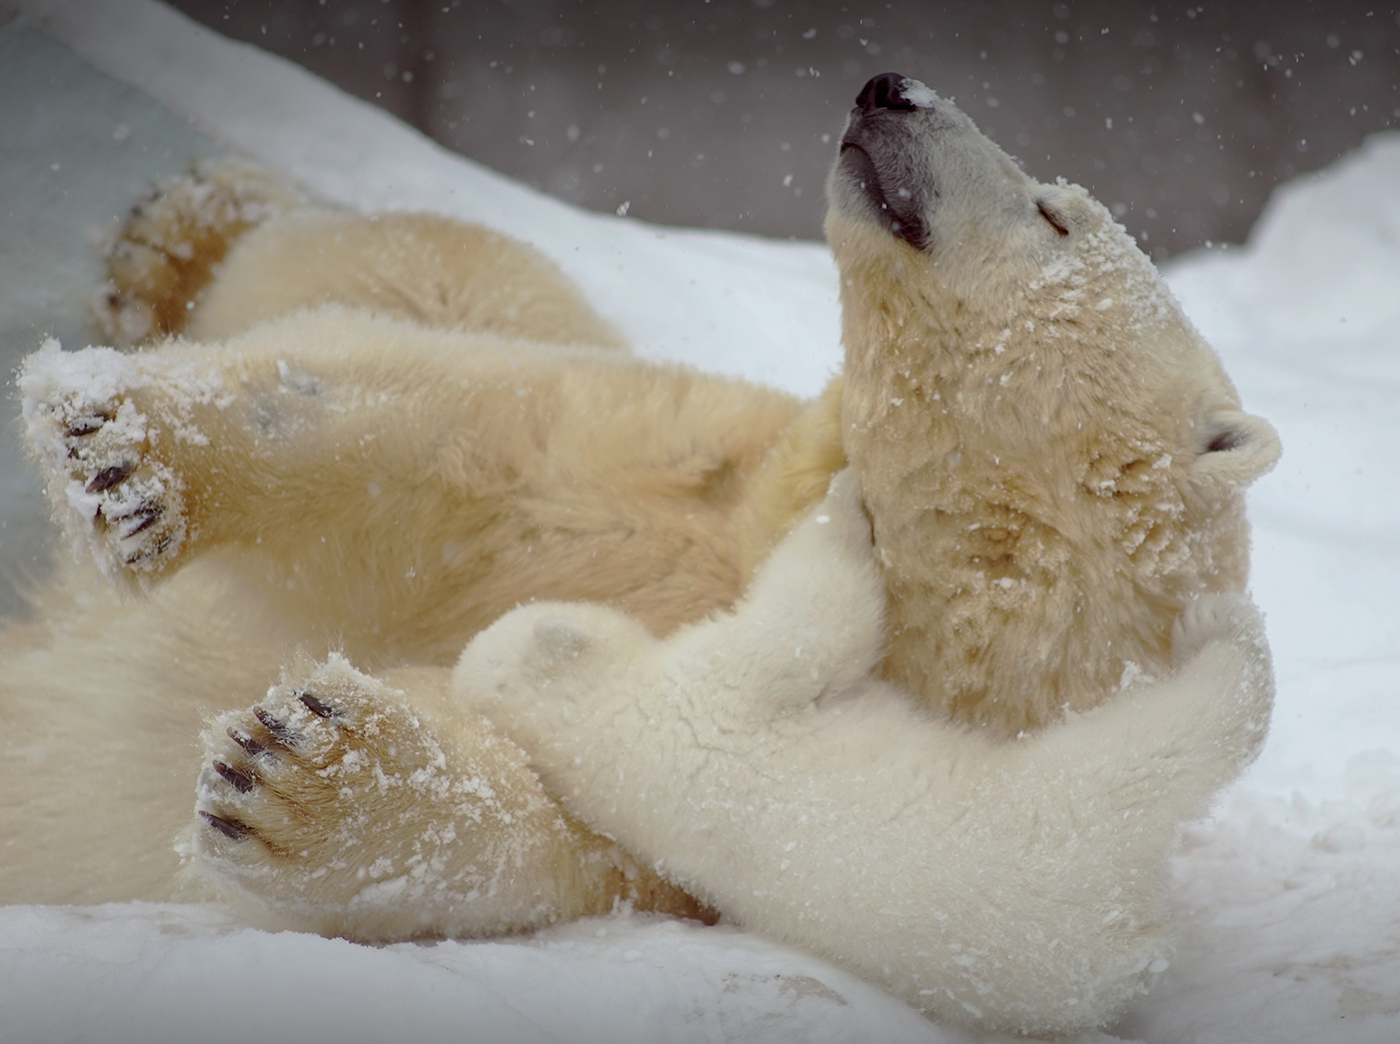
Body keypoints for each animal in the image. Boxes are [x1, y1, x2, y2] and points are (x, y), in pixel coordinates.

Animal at [453, 470, 1276, 1035]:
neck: (615, 742)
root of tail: (1126, 936)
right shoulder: (723, 693)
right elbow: (810, 625)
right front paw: (843, 498)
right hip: (1063, 814)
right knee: (1169, 740)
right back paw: (1221, 633)